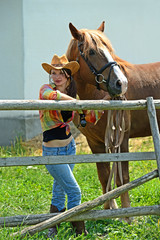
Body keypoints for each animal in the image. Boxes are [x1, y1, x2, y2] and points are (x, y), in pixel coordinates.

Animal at [65, 22, 160, 214]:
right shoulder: (95, 143)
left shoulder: (121, 139)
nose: (121, 83)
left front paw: (126, 211)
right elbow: (104, 175)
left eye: (109, 49)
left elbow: (123, 178)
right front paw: (108, 207)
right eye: (91, 52)